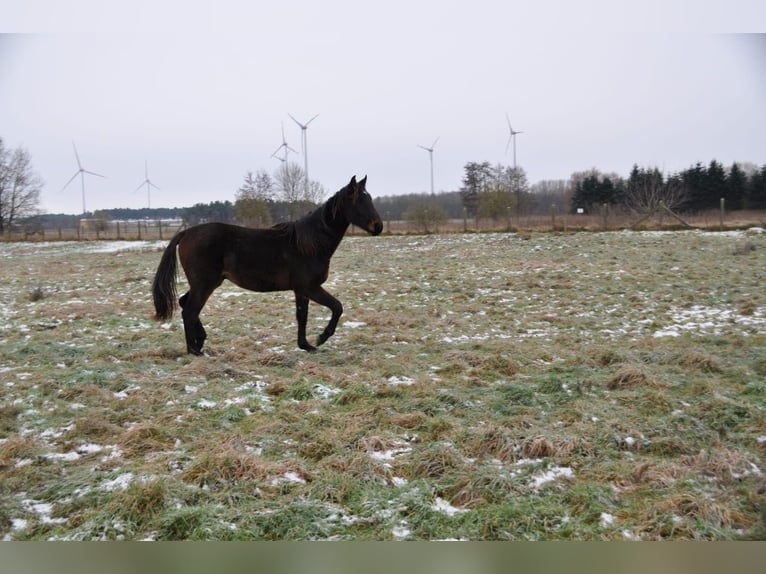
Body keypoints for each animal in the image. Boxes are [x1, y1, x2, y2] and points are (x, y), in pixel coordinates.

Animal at [152, 176, 384, 356]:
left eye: (369, 198)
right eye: (358, 201)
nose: (378, 226)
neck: (309, 244)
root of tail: (186, 232)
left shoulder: (301, 290)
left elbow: (302, 317)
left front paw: (306, 345)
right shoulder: (310, 287)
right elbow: (337, 307)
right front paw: (321, 338)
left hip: (207, 283)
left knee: (185, 305)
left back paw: (199, 342)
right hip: (204, 284)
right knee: (189, 311)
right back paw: (194, 350)